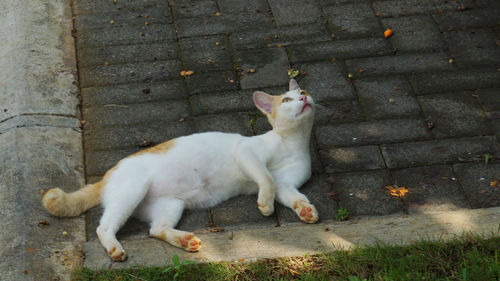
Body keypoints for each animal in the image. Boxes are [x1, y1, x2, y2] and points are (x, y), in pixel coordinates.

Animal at [42, 78, 316, 260]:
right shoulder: (246, 152)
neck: (293, 143)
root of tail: (108, 174)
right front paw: (265, 205)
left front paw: (305, 209)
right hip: (132, 191)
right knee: (104, 226)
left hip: (170, 205)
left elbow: (292, 195)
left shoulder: (285, 185)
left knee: (155, 229)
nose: (303, 98)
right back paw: (114, 248)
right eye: (287, 100)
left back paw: (185, 240)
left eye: (303, 91)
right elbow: (265, 178)